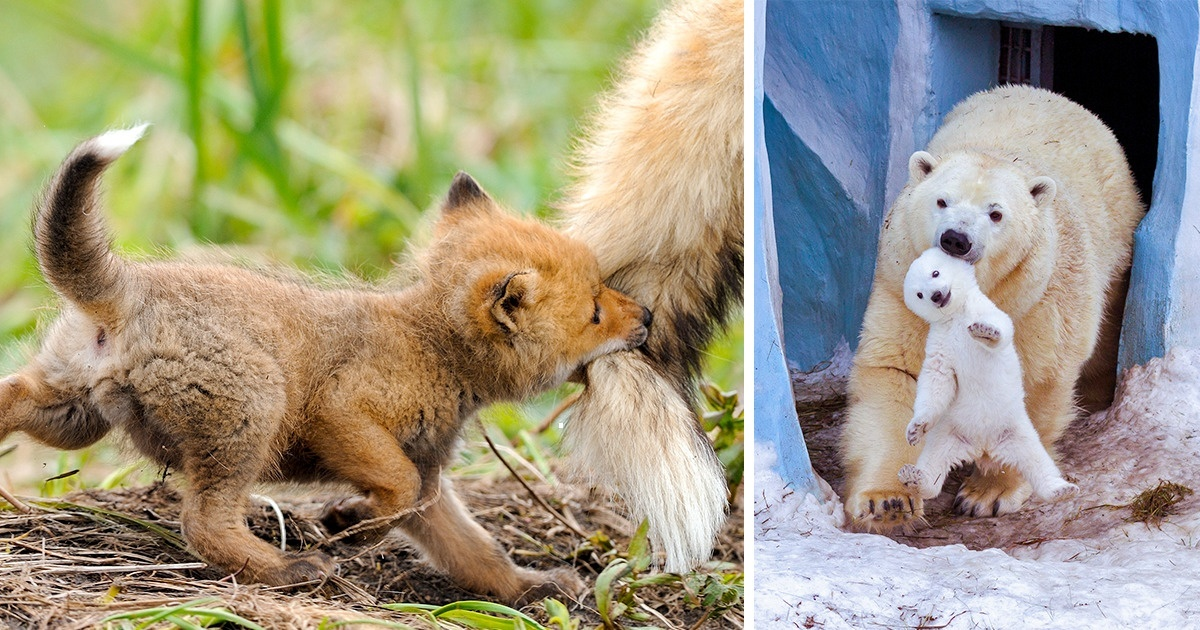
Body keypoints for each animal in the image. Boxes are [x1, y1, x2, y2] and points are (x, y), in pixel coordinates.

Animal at [902, 248, 1080, 504]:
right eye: (919, 294)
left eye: (935, 272)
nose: (936, 295)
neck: (956, 316)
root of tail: (983, 447)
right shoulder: (941, 341)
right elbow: (937, 378)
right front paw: (915, 429)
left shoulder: (984, 309)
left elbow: (1001, 328)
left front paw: (985, 331)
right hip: (950, 434)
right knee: (934, 464)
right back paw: (914, 478)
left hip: (1015, 430)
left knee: (1037, 461)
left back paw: (1061, 489)